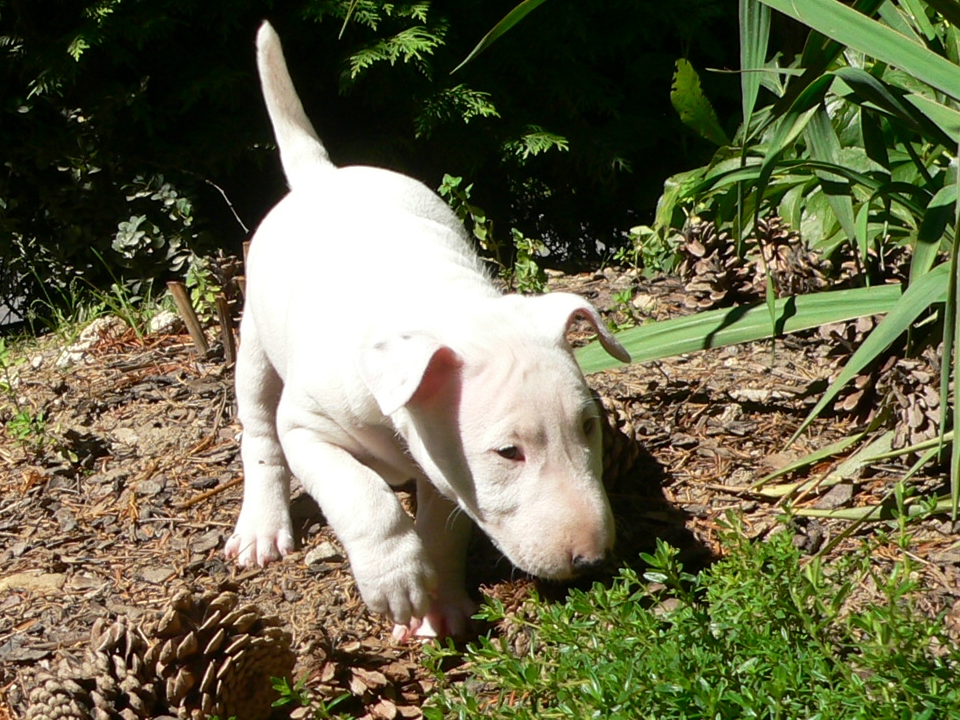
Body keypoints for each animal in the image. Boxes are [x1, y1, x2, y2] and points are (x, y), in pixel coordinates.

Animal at [225, 21, 631, 640]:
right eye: (508, 452)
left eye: (588, 425)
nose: (593, 560)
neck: (440, 300)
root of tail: (322, 174)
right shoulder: (308, 429)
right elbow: (361, 495)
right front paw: (396, 581)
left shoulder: (444, 465)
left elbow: (445, 526)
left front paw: (438, 605)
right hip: (254, 342)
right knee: (259, 434)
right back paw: (262, 527)